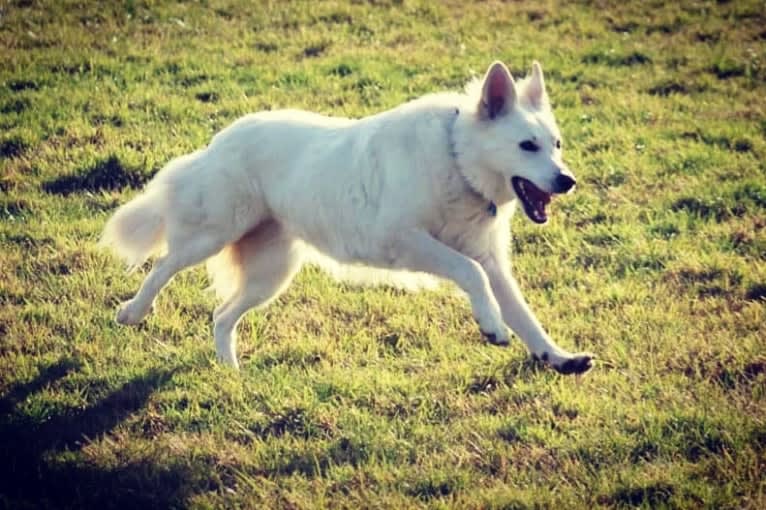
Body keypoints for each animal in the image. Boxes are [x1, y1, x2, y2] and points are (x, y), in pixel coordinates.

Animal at [100, 60, 592, 374]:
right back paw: (132, 312)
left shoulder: (491, 262)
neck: (457, 156)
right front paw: (491, 326)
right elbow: (470, 274)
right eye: (527, 146)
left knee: (222, 315)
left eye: (557, 145)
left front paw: (556, 358)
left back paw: (231, 373)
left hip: (271, 274)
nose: (567, 181)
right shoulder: (406, 241)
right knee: (163, 265)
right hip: (214, 234)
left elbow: (523, 314)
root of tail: (219, 140)